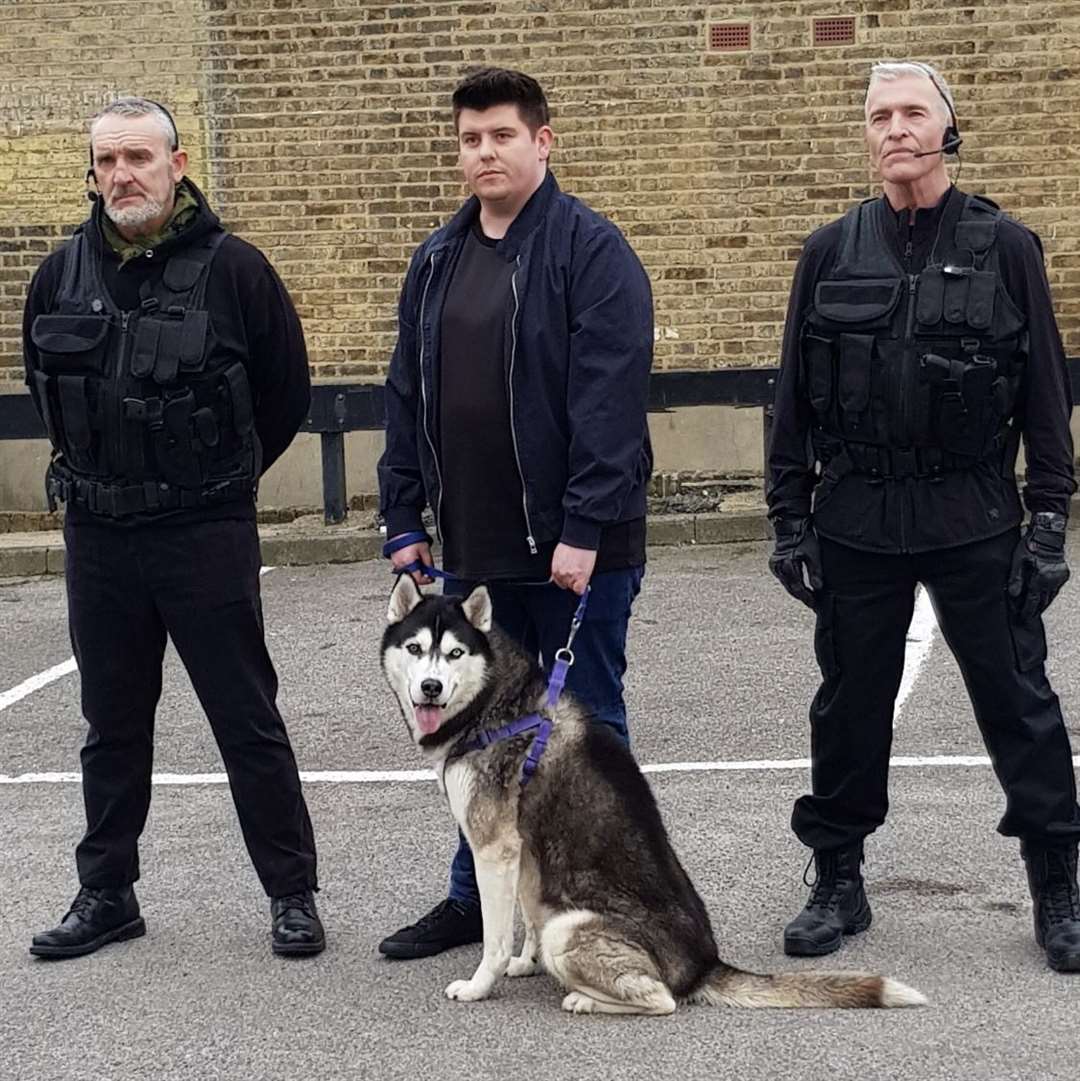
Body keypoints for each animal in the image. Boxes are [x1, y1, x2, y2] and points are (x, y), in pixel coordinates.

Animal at [382, 575, 929, 1011]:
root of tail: (704, 965)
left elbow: (494, 939)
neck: (497, 702)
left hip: (572, 929)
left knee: (662, 999)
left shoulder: (492, 848)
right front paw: (525, 962)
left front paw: (479, 986)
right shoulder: (523, 849)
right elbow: (528, 915)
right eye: (415, 649)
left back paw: (583, 999)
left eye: (455, 653)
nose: (430, 688)